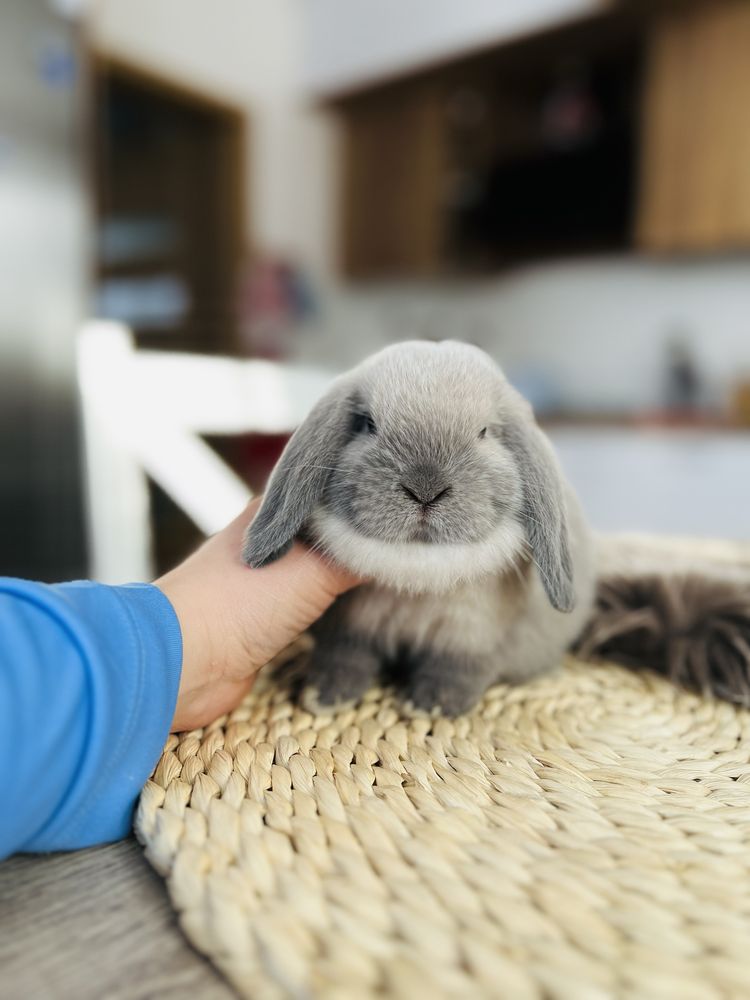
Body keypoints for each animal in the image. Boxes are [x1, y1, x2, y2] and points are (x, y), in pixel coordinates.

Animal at [244, 340, 596, 716]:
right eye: (367, 424)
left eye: (485, 432)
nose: (425, 489)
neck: (418, 570)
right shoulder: (348, 628)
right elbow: (344, 657)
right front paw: (325, 697)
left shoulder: (471, 639)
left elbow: (459, 669)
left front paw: (431, 706)